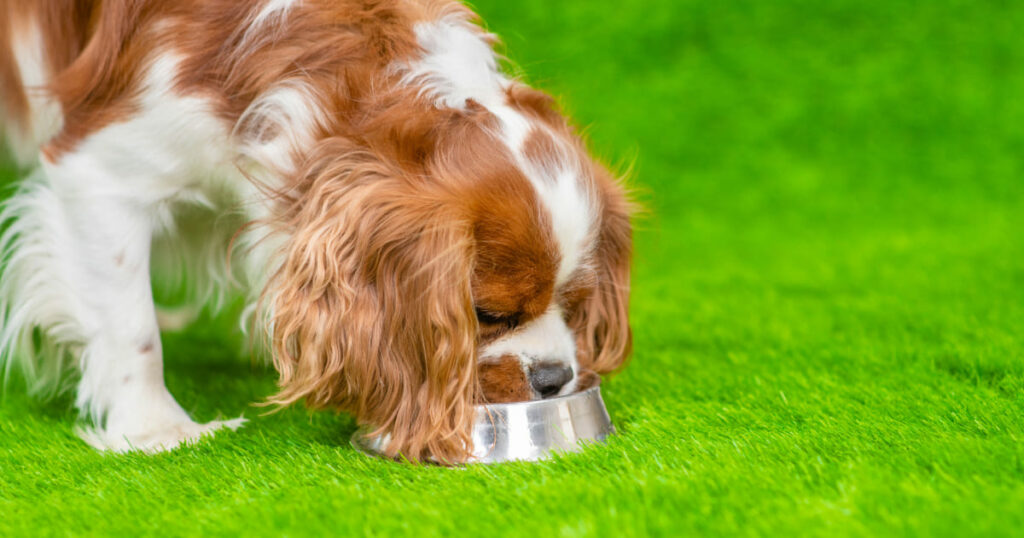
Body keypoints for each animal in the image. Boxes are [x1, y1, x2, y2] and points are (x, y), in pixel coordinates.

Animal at [0, 0, 630, 461]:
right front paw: (156, 428)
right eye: (488, 315)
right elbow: (130, 328)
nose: (554, 377)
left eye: (574, 305)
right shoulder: (98, 168)